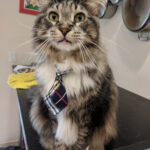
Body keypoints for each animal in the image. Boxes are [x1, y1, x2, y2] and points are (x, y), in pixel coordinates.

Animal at [28, 0, 118, 150]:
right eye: (53, 17)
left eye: (79, 17)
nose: (64, 29)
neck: (65, 67)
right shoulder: (53, 113)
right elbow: (58, 139)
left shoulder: (91, 113)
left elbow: (81, 141)